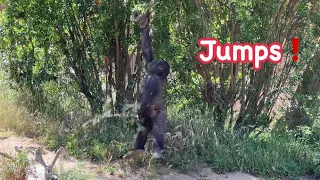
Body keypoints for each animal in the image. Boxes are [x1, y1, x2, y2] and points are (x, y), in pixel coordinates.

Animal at [123, 15, 170, 159]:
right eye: (156, 61)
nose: (156, 62)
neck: (155, 74)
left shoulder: (153, 81)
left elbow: (145, 101)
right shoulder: (149, 65)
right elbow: (146, 51)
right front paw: (144, 24)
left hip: (159, 115)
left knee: (157, 130)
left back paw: (158, 151)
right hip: (147, 120)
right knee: (144, 130)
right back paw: (136, 150)